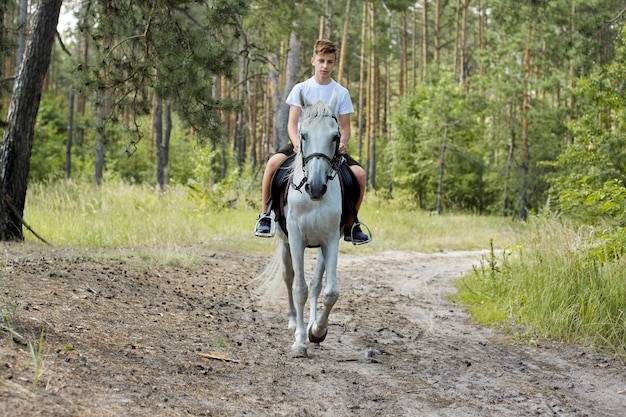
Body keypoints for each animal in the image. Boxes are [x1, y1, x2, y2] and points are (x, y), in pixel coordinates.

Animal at [272, 89, 342, 356]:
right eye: (303, 134)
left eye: (335, 136)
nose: (316, 187)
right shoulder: (296, 238)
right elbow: (299, 289)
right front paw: (300, 341)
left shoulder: (330, 240)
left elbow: (329, 291)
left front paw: (317, 331)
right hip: (285, 244)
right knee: (289, 277)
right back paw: (294, 321)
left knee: (315, 285)